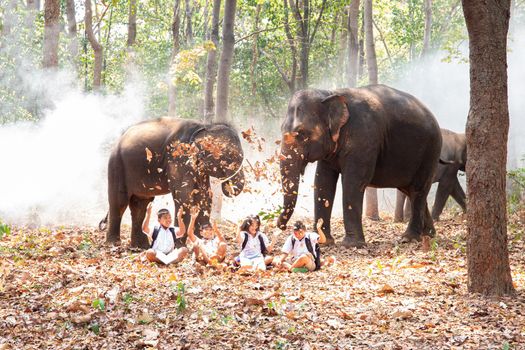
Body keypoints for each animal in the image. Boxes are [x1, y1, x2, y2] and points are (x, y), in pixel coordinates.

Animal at [99, 117, 245, 249]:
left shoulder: (198, 168)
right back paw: (113, 245)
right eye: (227, 159)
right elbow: (183, 196)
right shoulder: (178, 159)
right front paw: (180, 246)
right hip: (117, 165)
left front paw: (206, 239)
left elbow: (204, 195)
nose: (228, 186)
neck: (203, 127)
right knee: (119, 202)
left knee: (141, 205)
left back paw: (141, 247)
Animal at [276, 84, 440, 249]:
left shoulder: (364, 137)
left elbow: (353, 182)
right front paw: (323, 242)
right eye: (282, 128)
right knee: (412, 191)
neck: (329, 93)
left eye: (301, 133)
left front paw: (351, 244)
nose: (281, 226)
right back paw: (429, 234)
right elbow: (323, 182)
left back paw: (409, 239)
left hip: (430, 152)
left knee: (418, 190)